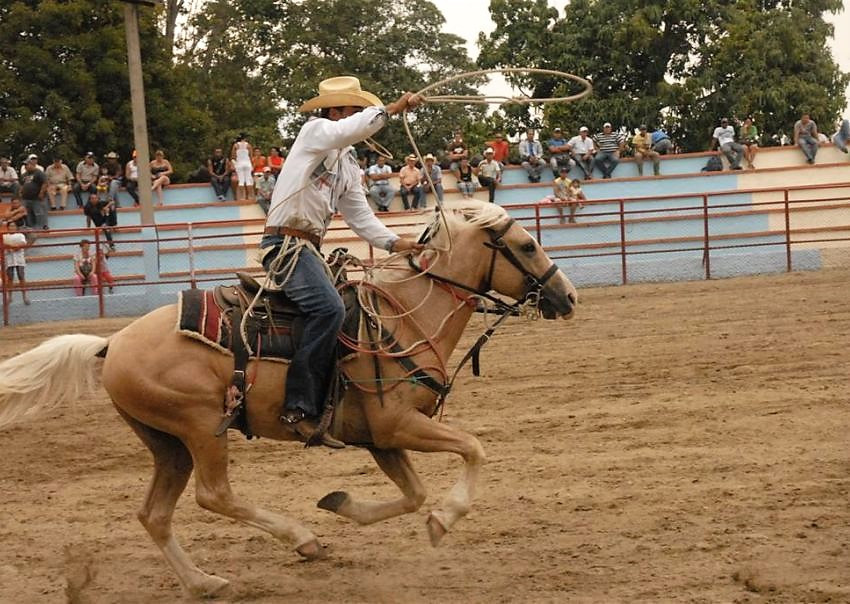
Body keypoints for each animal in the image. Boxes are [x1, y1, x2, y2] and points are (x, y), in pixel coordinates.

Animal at [0, 201, 576, 596]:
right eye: (527, 246)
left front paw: (341, 503)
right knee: (214, 496)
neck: (405, 317)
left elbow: (412, 494)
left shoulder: (379, 438)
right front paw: (444, 519)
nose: (567, 296)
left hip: (167, 443)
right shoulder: (397, 425)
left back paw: (205, 583)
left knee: (155, 515)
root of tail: (112, 342)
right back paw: (302, 540)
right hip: (199, 426)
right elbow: (473, 449)